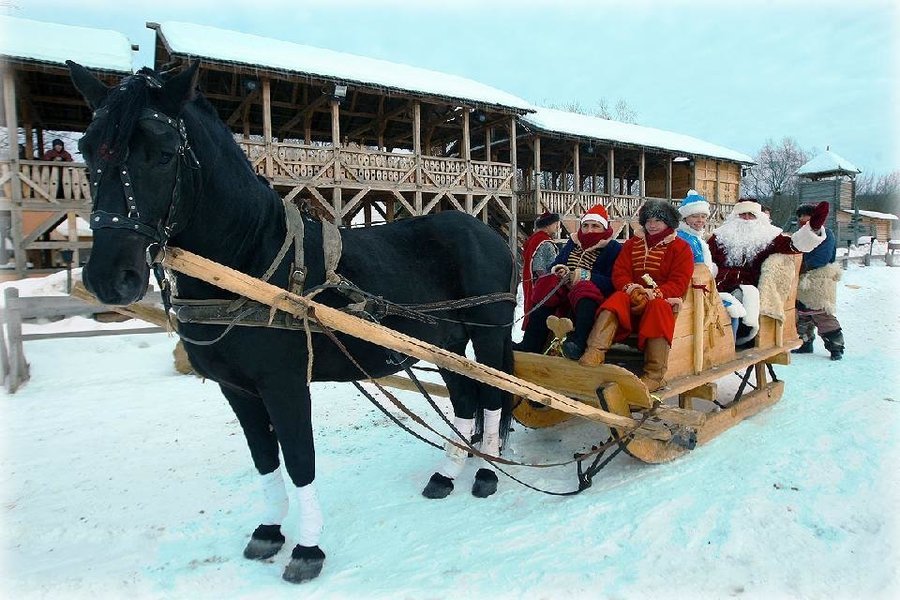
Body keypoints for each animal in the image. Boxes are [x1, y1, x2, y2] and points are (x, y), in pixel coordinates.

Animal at [69, 63, 512, 584]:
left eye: (162, 153)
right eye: (87, 149)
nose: (108, 277)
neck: (249, 261)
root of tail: (487, 230)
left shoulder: (283, 383)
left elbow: (300, 460)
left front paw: (307, 548)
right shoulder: (236, 389)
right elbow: (264, 459)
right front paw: (268, 531)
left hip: (489, 337)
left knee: (494, 400)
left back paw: (487, 473)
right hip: (443, 343)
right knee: (465, 401)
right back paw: (447, 474)